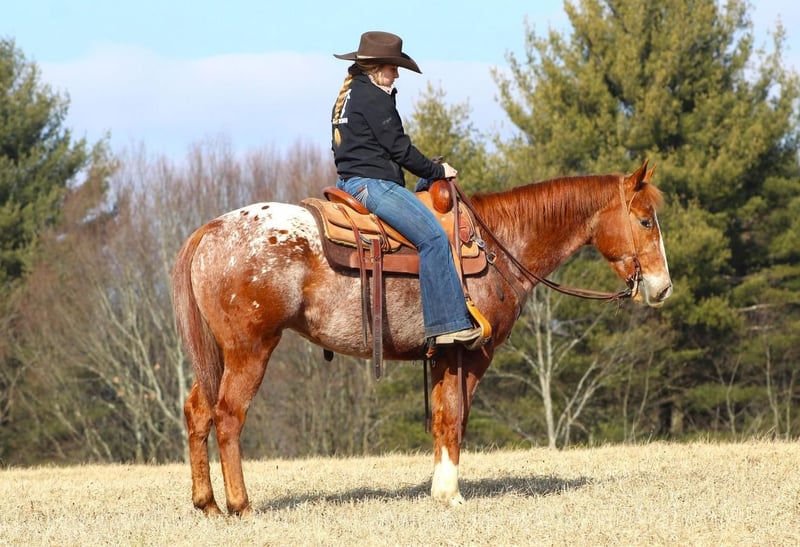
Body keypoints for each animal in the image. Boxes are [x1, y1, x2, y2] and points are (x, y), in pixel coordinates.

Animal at [172, 157, 672, 512]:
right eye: (645, 221)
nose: (662, 286)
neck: (497, 244)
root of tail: (209, 231)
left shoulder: (442, 357)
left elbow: (443, 418)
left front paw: (441, 489)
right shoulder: (471, 353)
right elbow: (454, 417)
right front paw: (450, 494)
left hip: (219, 353)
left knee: (198, 411)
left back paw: (207, 503)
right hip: (250, 349)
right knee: (229, 414)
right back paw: (240, 505)